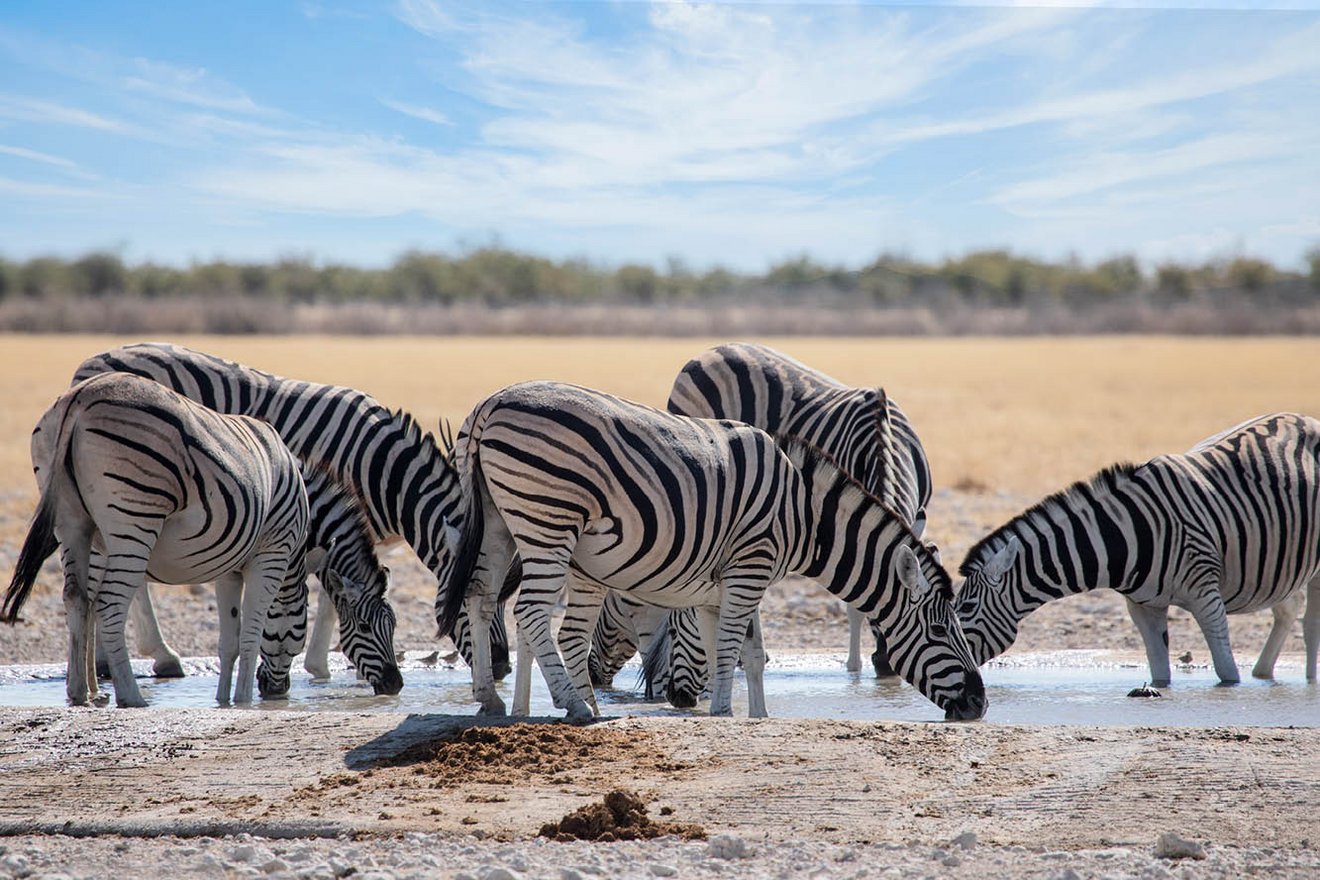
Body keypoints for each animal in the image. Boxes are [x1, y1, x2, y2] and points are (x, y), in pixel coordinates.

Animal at [5, 374, 308, 707]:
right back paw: (131, 696)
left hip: (71, 522)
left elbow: (230, 642)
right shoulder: (271, 554)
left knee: (76, 597)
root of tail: (82, 395)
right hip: (135, 515)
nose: (276, 692)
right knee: (109, 604)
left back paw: (79, 693)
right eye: (302, 622)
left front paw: (223, 701)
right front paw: (243, 701)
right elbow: (251, 635)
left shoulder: (229, 569)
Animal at [432, 382, 982, 717]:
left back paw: (489, 698)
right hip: (548, 520)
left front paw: (757, 716)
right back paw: (578, 706)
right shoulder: (749, 568)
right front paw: (723, 712)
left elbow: (752, 654)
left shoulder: (739, 578)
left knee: (481, 595)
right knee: (528, 611)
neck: (803, 514)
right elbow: (729, 649)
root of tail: (490, 404)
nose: (979, 705)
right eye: (940, 630)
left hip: (499, 522)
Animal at [955, 414, 1320, 686]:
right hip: (1280, 561)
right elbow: (1159, 674)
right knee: (1288, 609)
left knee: (1309, 622)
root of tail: (1305, 418)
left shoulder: (1206, 595)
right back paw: (1264, 673)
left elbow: (1227, 673)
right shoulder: (1144, 607)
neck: (1123, 535)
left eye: (967, 606)